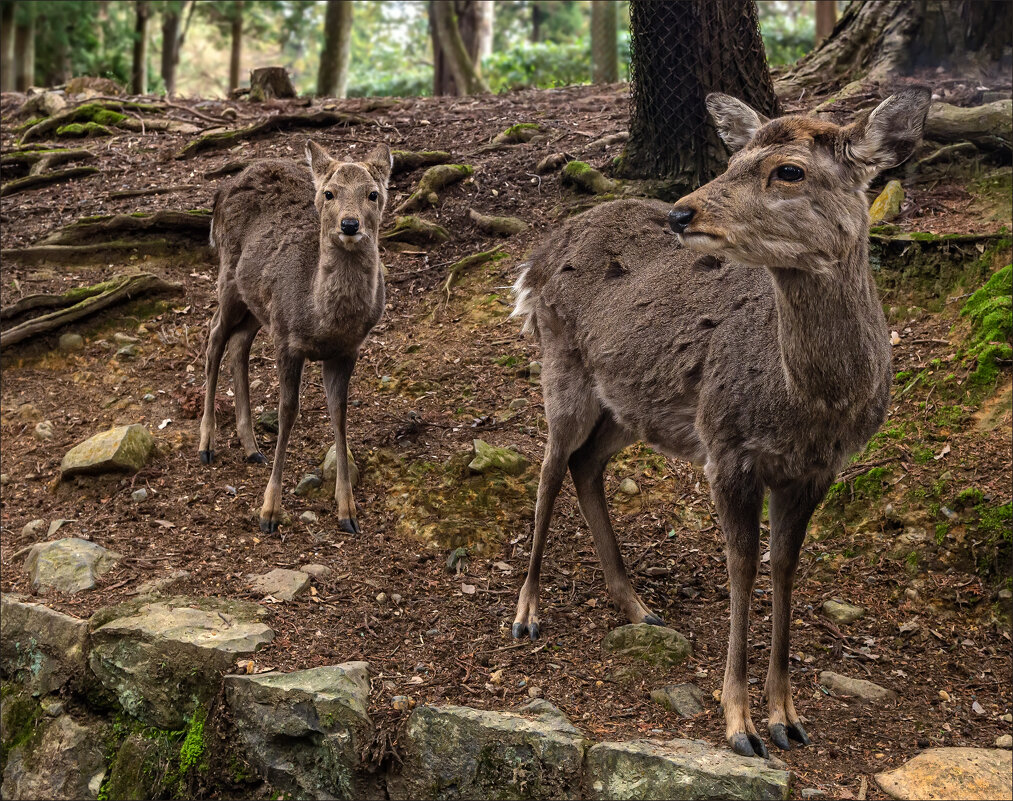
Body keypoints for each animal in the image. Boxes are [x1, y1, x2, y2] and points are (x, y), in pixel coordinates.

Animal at [198, 139, 391, 534]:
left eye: (373, 194)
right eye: (330, 193)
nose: (350, 224)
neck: (321, 319)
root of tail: (223, 189)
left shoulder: (347, 350)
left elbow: (339, 414)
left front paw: (348, 511)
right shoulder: (288, 340)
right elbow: (288, 412)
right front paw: (269, 511)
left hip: (258, 305)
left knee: (239, 342)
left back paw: (251, 446)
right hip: (228, 276)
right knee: (214, 336)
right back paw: (206, 443)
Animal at [510, 89, 927, 757]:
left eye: (789, 170)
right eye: (733, 161)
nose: (683, 213)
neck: (810, 405)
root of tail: (536, 257)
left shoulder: (817, 471)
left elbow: (785, 566)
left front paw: (787, 717)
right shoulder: (729, 450)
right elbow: (742, 565)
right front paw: (740, 724)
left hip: (631, 402)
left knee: (585, 464)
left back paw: (638, 607)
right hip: (561, 360)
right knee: (549, 465)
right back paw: (527, 613)